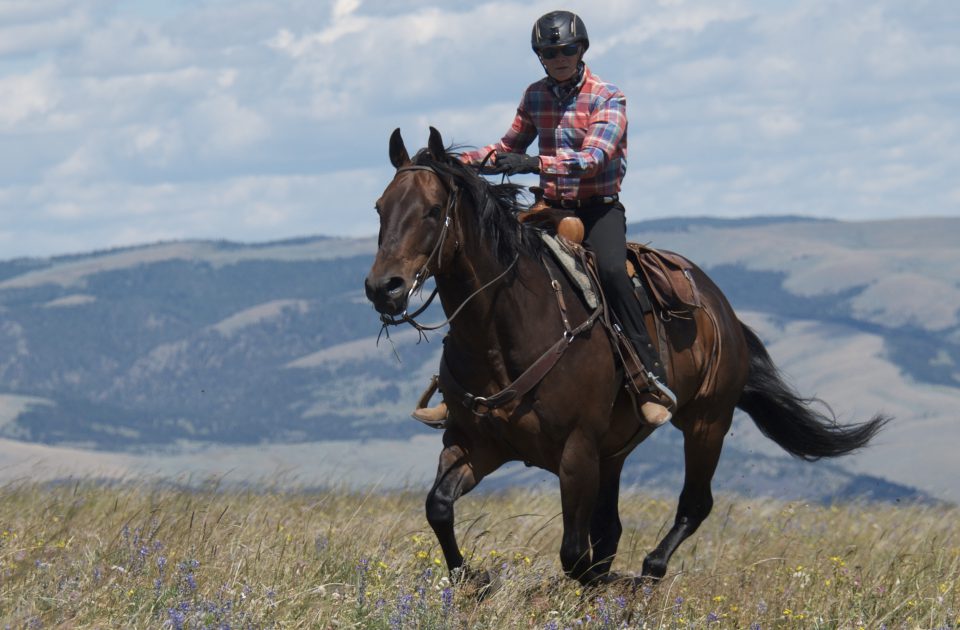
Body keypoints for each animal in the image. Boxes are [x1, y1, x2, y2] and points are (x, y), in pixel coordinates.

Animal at [364, 128, 888, 588]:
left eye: (433, 210)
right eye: (379, 207)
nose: (382, 288)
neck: (503, 332)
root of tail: (724, 311)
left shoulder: (577, 452)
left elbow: (575, 555)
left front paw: (604, 584)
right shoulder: (475, 443)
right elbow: (439, 507)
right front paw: (475, 578)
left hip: (706, 423)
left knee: (694, 505)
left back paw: (648, 573)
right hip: (614, 452)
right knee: (613, 528)